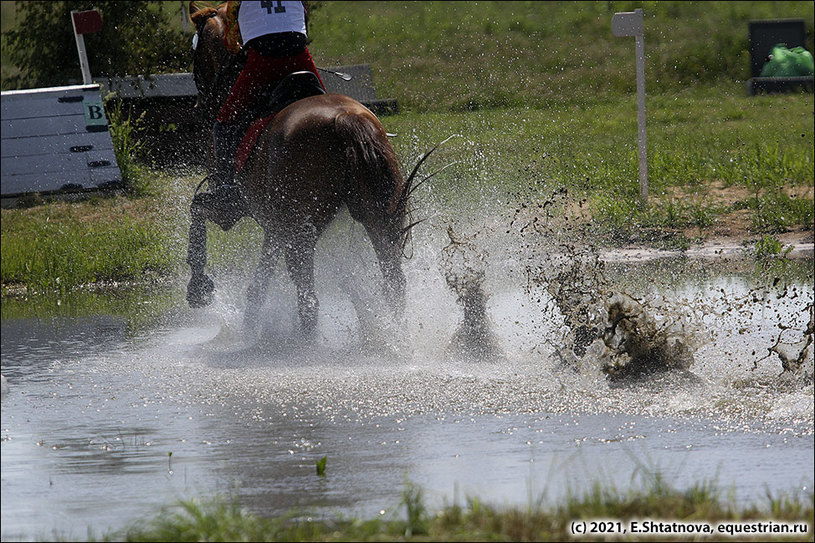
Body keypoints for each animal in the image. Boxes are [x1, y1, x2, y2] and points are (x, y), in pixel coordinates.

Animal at [186, 2, 428, 338]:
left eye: (193, 49)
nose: (198, 105)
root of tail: (345, 119)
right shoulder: (274, 226)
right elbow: (259, 282)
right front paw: (249, 323)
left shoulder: (233, 209)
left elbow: (197, 211)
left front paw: (198, 287)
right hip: (373, 215)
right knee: (392, 280)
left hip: (301, 228)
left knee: (308, 295)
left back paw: (304, 343)